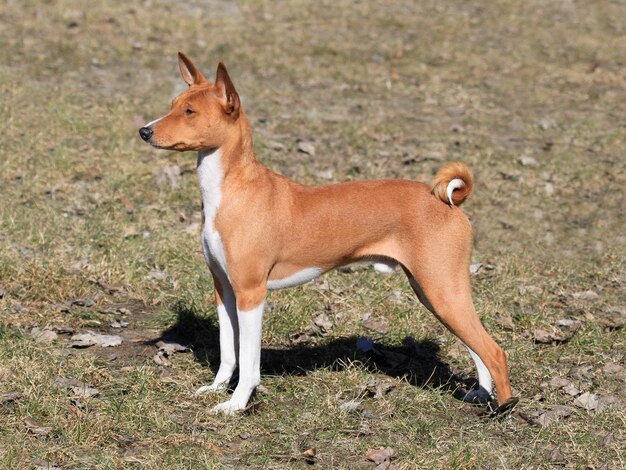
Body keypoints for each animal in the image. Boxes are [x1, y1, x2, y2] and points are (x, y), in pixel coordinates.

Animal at [139, 52, 516, 414]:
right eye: (173, 104)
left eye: (189, 112)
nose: (144, 131)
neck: (231, 192)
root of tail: (450, 203)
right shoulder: (224, 289)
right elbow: (228, 352)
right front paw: (217, 389)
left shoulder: (251, 293)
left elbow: (248, 361)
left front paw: (236, 404)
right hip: (435, 292)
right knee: (476, 346)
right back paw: (481, 394)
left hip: (442, 290)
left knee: (494, 350)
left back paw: (503, 410)